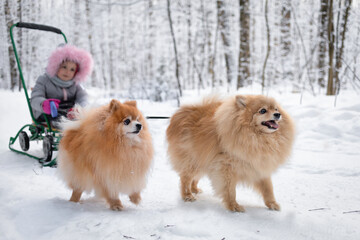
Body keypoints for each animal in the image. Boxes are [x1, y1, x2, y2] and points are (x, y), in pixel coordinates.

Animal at [166, 95, 296, 212]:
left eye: (276, 109)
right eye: (263, 110)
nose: (278, 114)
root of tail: (180, 115)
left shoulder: (258, 164)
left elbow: (268, 188)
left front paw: (272, 203)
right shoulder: (226, 168)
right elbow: (230, 190)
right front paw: (233, 206)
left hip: (202, 161)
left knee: (194, 178)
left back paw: (195, 189)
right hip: (193, 161)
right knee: (185, 178)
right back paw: (187, 195)